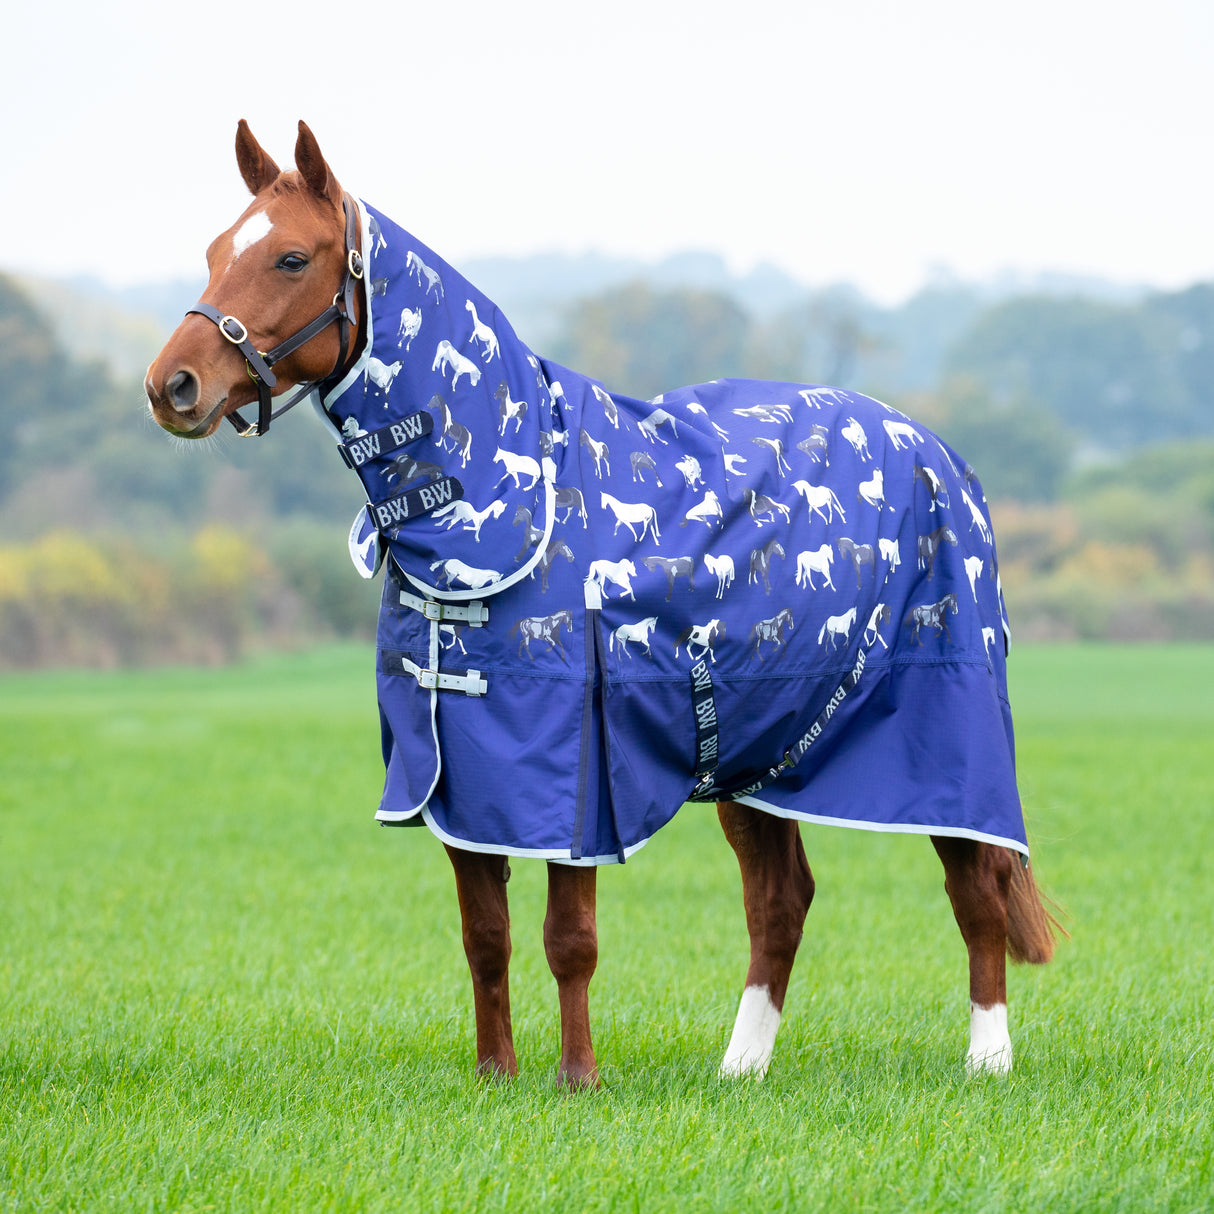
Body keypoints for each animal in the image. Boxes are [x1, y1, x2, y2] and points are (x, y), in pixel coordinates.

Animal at [144, 121, 1057, 1089]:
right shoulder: (463, 781)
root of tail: (941, 455)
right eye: (214, 251)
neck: (502, 511)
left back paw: (988, 1059)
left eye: (289, 256)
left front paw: (576, 1078)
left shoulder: (576, 779)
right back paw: (741, 1068)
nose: (173, 386)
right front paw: (496, 1075)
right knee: (781, 901)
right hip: (756, 752)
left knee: (976, 890)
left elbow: (568, 938)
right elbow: (486, 937)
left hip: (946, 730)